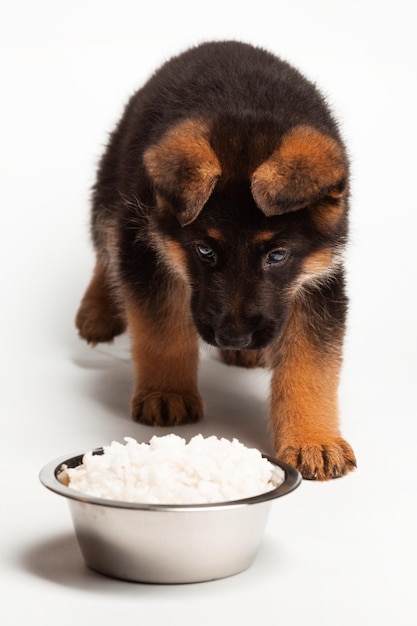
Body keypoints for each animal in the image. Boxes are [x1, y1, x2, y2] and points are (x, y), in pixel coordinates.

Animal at [75, 40, 354, 478]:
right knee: (106, 250)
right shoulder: (147, 253)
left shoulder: (317, 281)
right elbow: (163, 331)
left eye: (277, 255)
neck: (249, 109)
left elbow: (311, 366)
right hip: (112, 193)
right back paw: (98, 311)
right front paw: (167, 392)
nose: (234, 337)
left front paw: (314, 441)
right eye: (204, 250)